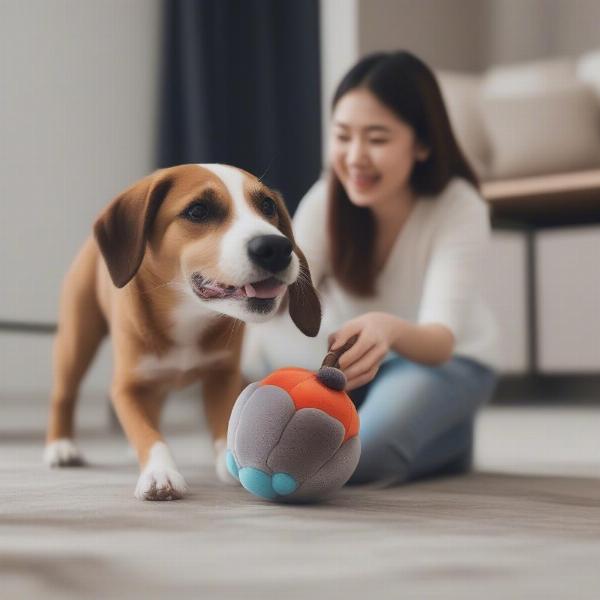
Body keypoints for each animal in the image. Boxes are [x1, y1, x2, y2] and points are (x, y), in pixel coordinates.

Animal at [42, 162, 322, 500]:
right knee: (64, 394)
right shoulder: (125, 387)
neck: (189, 314)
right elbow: (147, 433)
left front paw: (229, 463)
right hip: (77, 339)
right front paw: (159, 471)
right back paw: (61, 446)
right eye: (198, 211)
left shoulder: (223, 376)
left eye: (267, 206)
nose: (277, 247)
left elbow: (223, 420)